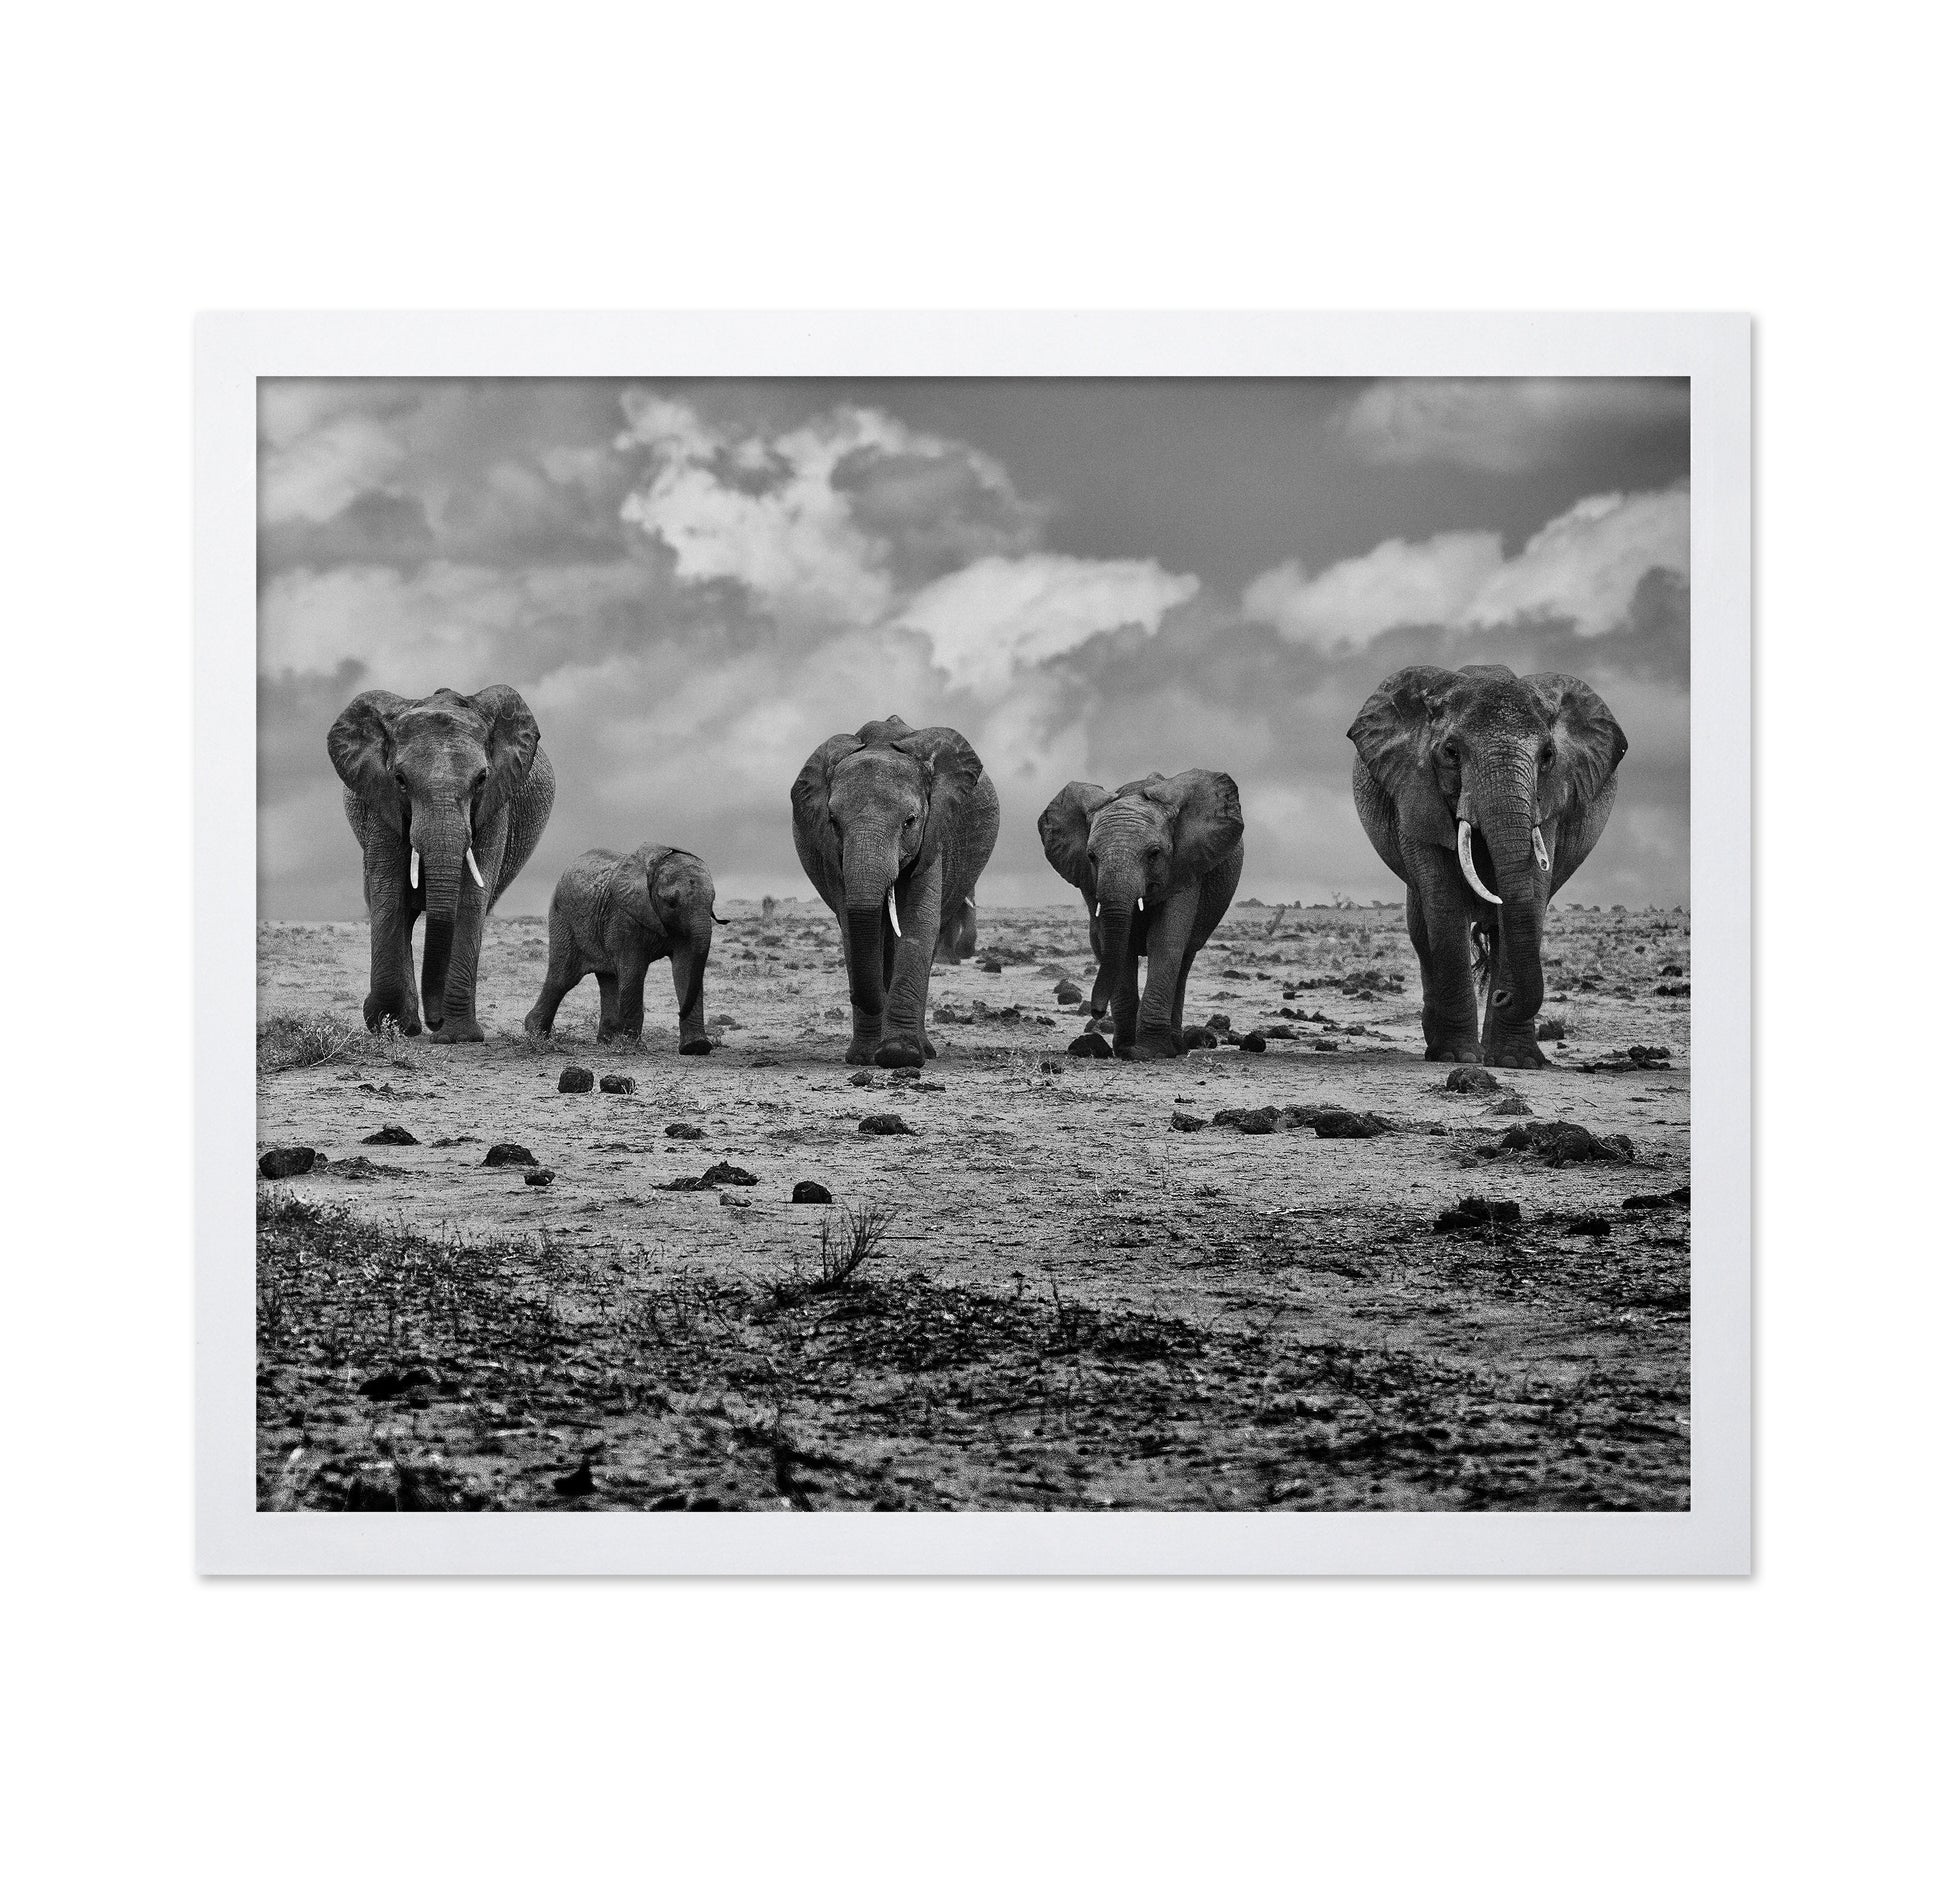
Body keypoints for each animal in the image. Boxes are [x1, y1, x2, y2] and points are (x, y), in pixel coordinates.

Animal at [327, 685, 555, 1043]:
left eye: (481, 779)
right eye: (400, 779)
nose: (435, 1021)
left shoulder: (494, 804)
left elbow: (471, 899)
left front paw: (458, 1036)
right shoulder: (381, 800)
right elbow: (388, 892)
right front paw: (388, 1025)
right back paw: (403, 1025)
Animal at [523, 845, 722, 1052]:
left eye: (712, 902)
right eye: (671, 902)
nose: (679, 1012)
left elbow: (686, 967)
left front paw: (696, 1048)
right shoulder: (623, 917)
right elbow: (633, 971)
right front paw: (633, 1046)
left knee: (607, 978)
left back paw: (607, 1041)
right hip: (564, 920)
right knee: (563, 977)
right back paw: (536, 1034)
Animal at [790, 715, 999, 1067]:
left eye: (910, 821)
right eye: (833, 821)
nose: (866, 997)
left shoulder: (934, 833)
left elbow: (917, 922)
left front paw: (899, 1054)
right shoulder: (830, 852)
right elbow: (853, 926)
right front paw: (865, 1058)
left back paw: (924, 1049)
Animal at [1039, 769, 1244, 1060]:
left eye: (1154, 854)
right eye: (1091, 856)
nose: (1096, 1012)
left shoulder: (1185, 867)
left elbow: (1165, 941)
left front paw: (1149, 1051)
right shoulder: (1089, 881)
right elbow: (1117, 945)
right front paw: (1125, 1048)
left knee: (1184, 960)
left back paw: (1176, 1047)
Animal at [1349, 662, 1627, 1068]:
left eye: (1548, 755)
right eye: (1451, 752)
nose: (1502, 997)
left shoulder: (1551, 802)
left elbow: (1533, 895)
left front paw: (1516, 1063)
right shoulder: (1414, 791)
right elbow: (1444, 904)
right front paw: (1457, 1057)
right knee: (1423, 933)